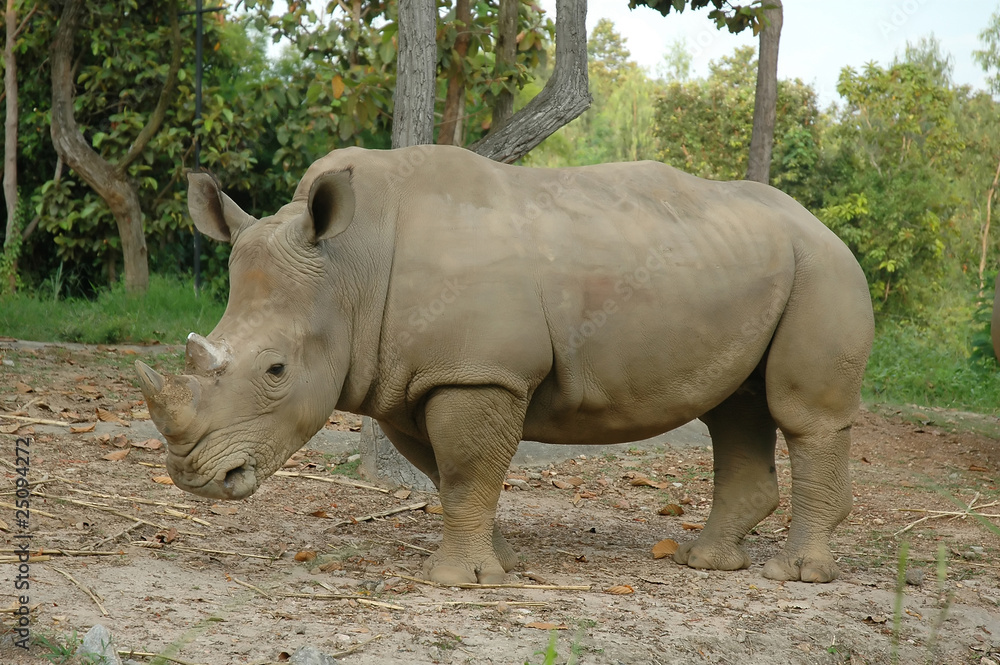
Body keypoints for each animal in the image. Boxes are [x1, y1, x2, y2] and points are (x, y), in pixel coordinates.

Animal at [135, 145, 874, 585]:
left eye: (276, 371)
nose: (193, 476)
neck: (349, 268)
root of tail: (825, 225)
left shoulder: (476, 370)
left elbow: (466, 473)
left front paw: (457, 582)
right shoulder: (412, 378)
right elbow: (451, 475)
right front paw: (503, 563)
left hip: (825, 267)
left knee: (801, 414)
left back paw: (794, 575)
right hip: (748, 266)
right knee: (735, 407)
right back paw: (709, 563)